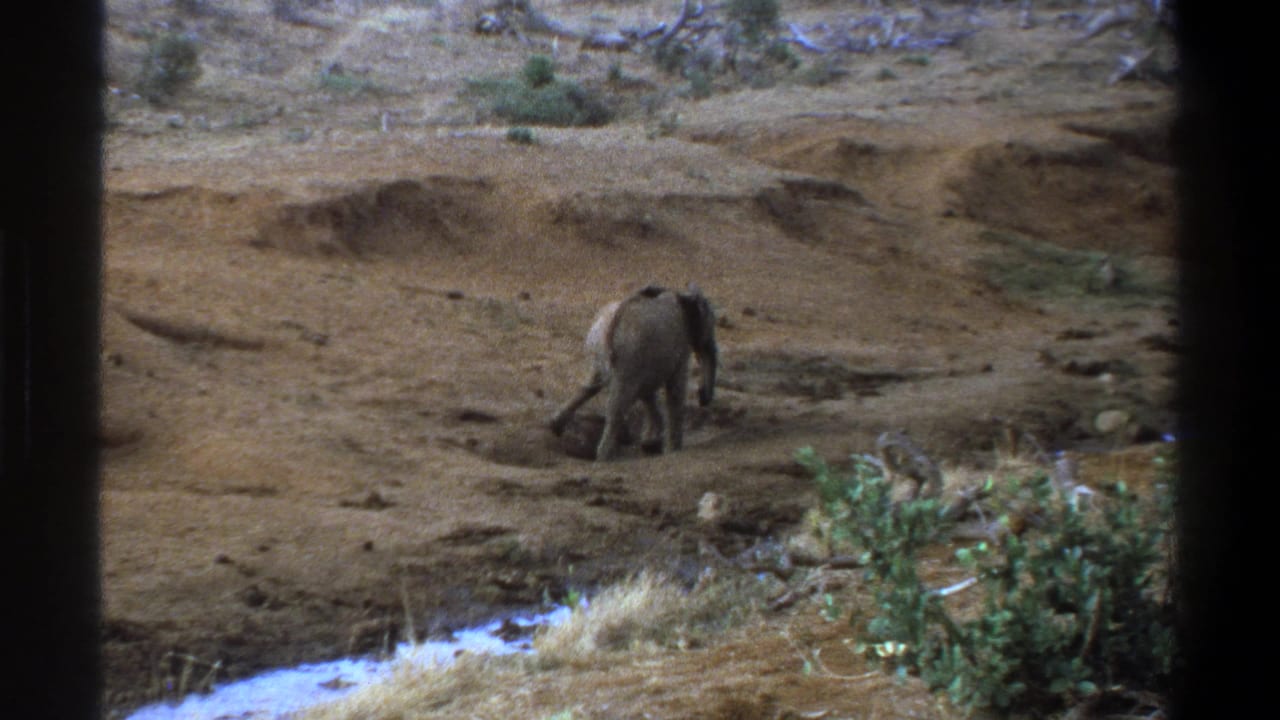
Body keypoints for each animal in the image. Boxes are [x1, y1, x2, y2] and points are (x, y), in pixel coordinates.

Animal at [550, 283, 718, 461]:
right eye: (711, 324)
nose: (703, 398)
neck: (681, 295)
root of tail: (611, 325)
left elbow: (647, 393)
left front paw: (650, 445)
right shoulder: (679, 345)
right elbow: (675, 390)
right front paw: (673, 450)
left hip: (600, 350)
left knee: (590, 385)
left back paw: (555, 427)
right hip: (628, 354)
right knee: (617, 405)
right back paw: (604, 457)